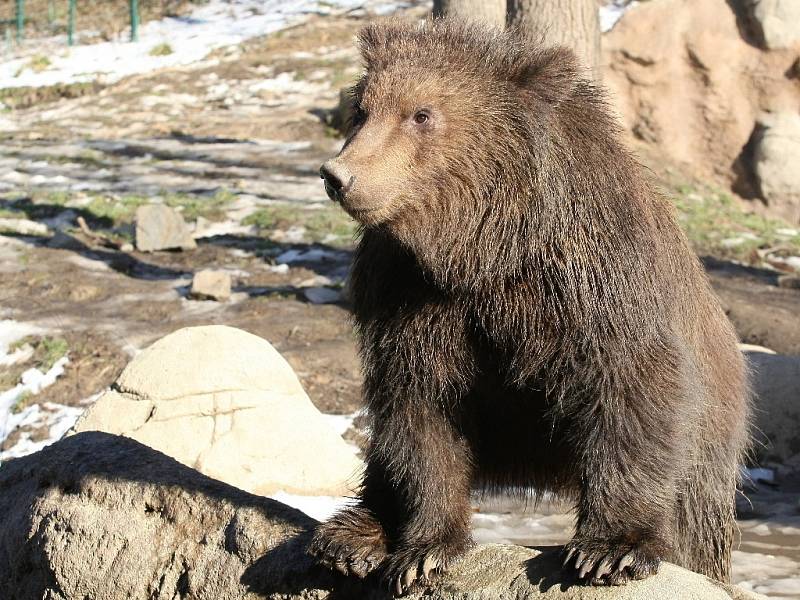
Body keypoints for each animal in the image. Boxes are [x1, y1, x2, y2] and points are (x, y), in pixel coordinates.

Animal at [306, 16, 752, 596]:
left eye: (421, 114)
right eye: (362, 108)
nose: (339, 174)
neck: (483, 251)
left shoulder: (590, 284)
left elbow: (631, 389)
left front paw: (611, 550)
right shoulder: (412, 299)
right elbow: (421, 412)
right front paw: (423, 550)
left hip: (712, 434)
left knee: (695, 518)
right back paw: (350, 535)